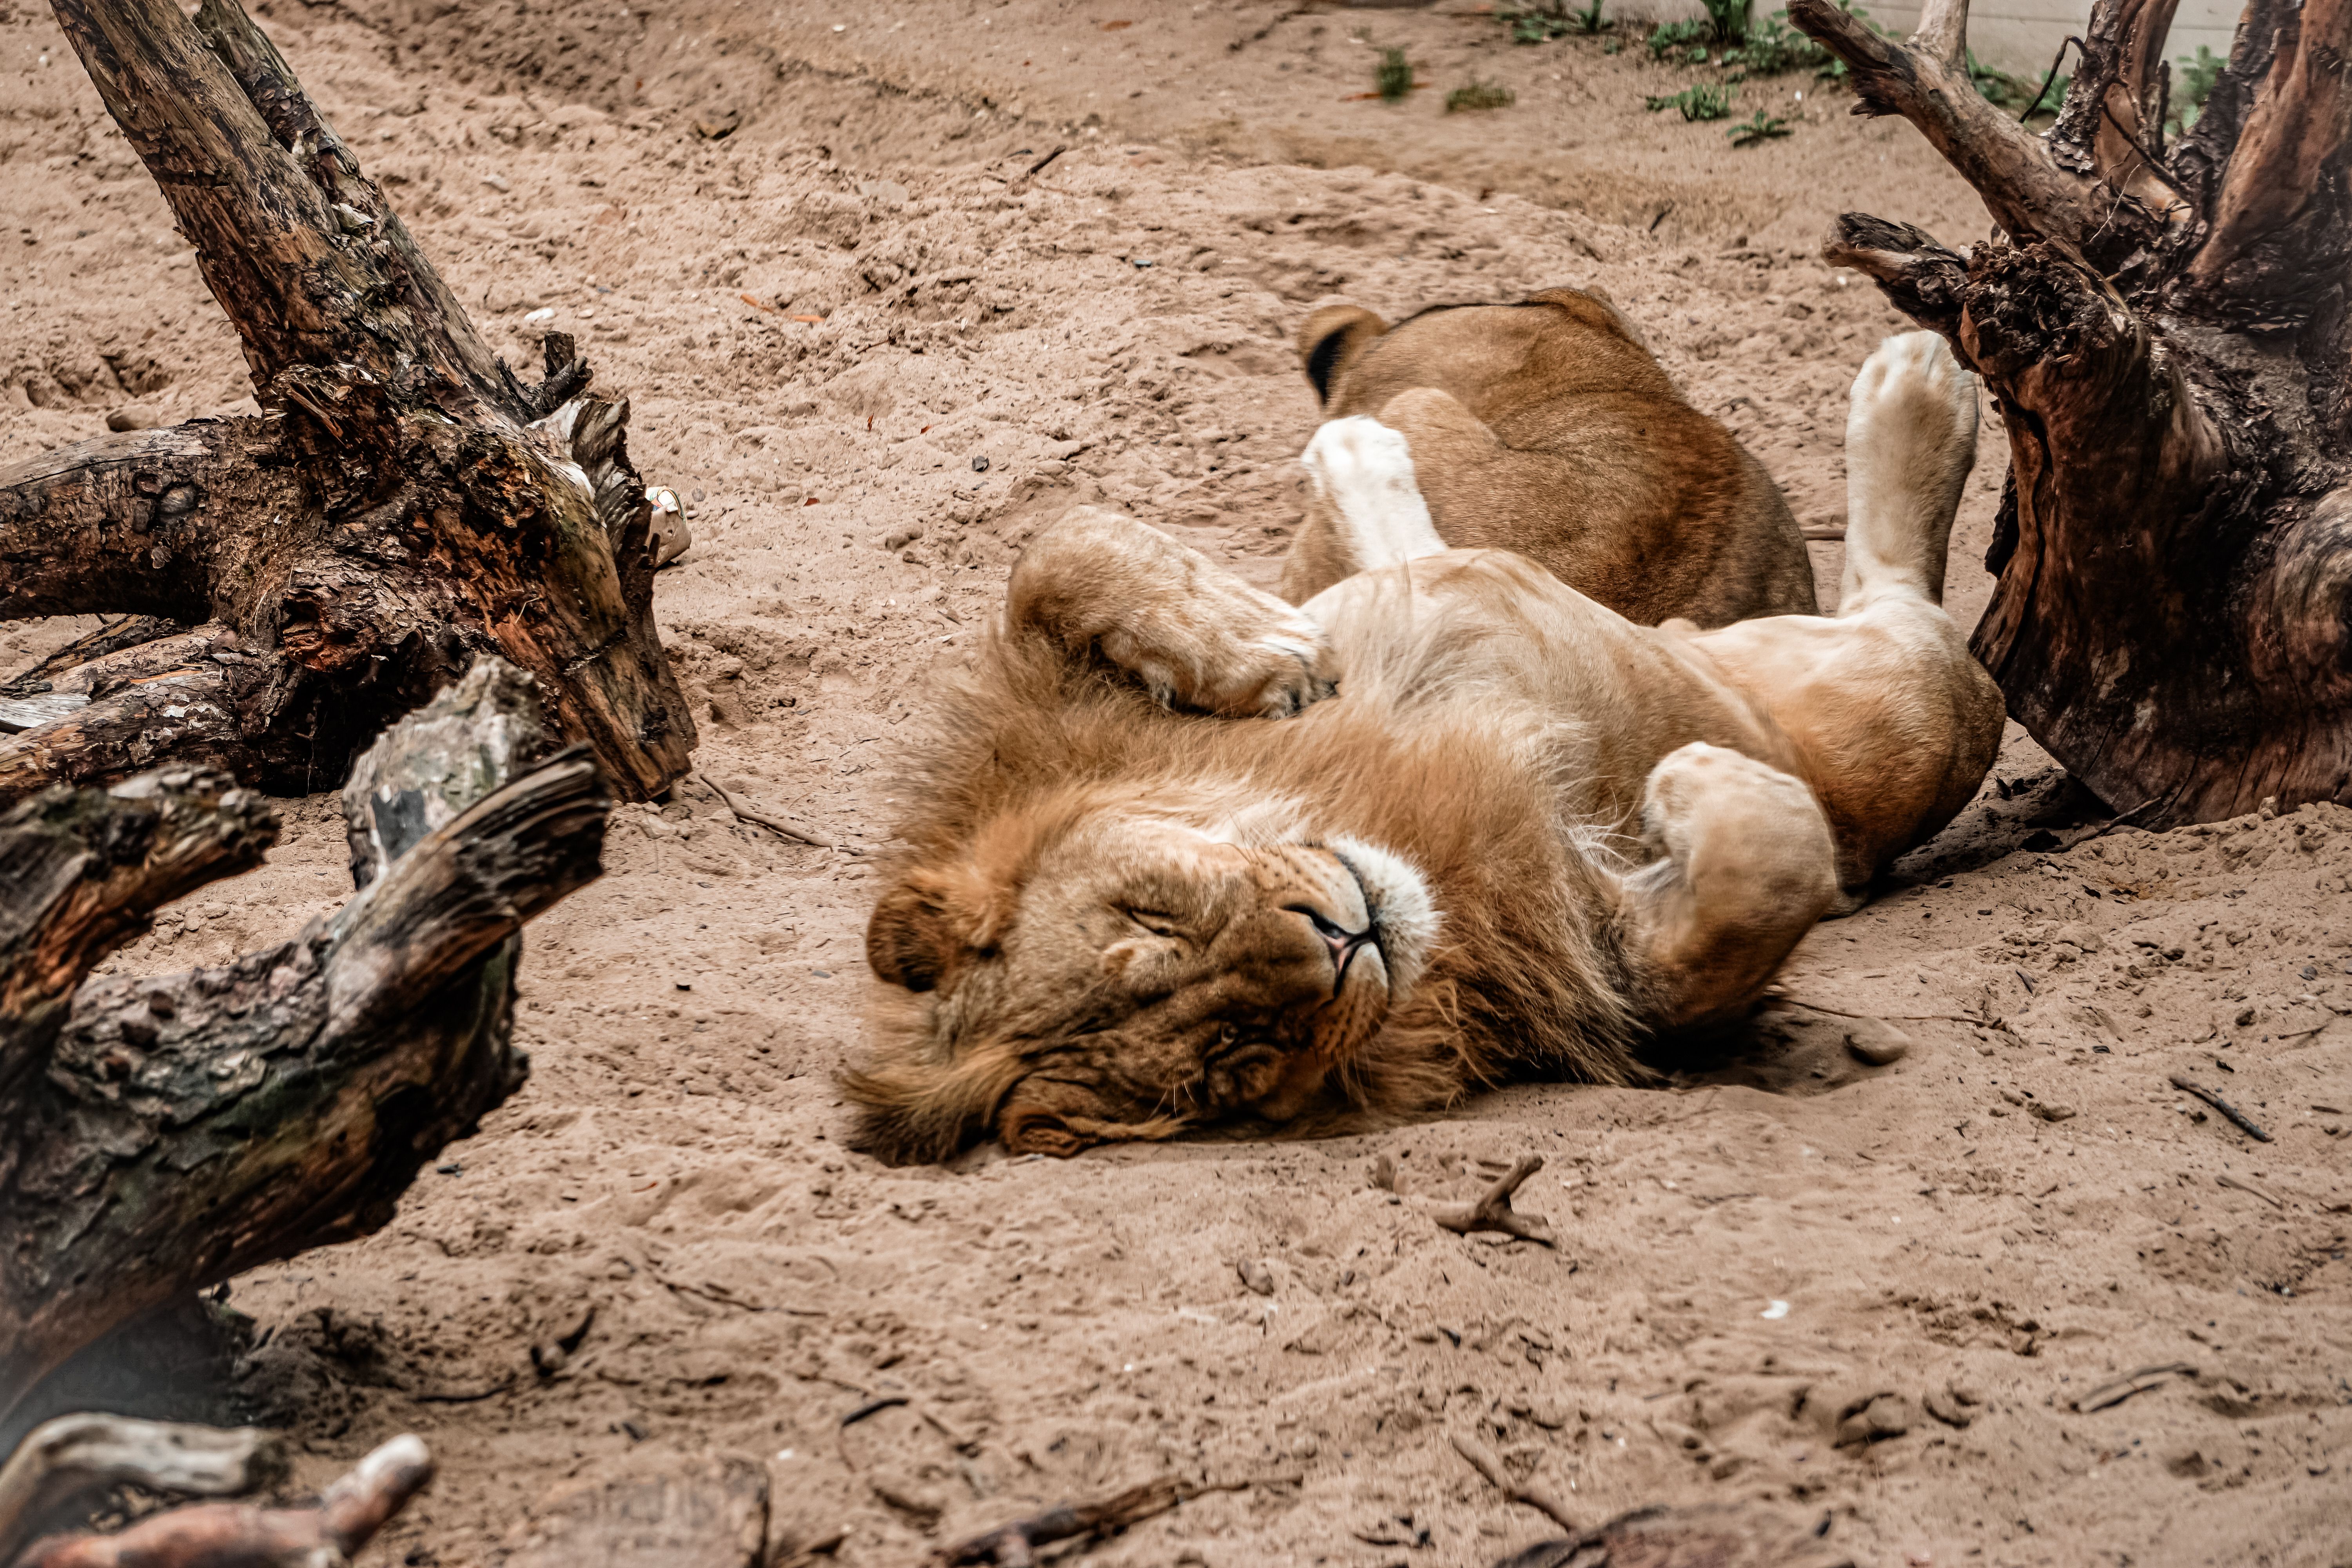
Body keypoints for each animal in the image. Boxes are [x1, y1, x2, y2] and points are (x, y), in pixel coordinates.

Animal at [844, 332, 2001, 1164]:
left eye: (1151, 913)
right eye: (1237, 1052)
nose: (1342, 940)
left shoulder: (1054, 702)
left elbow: (1058, 545)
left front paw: (1257, 650)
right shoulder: (1598, 955)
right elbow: (1753, 893)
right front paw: (1690, 783)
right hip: (1894, 697)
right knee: (1906, 605)